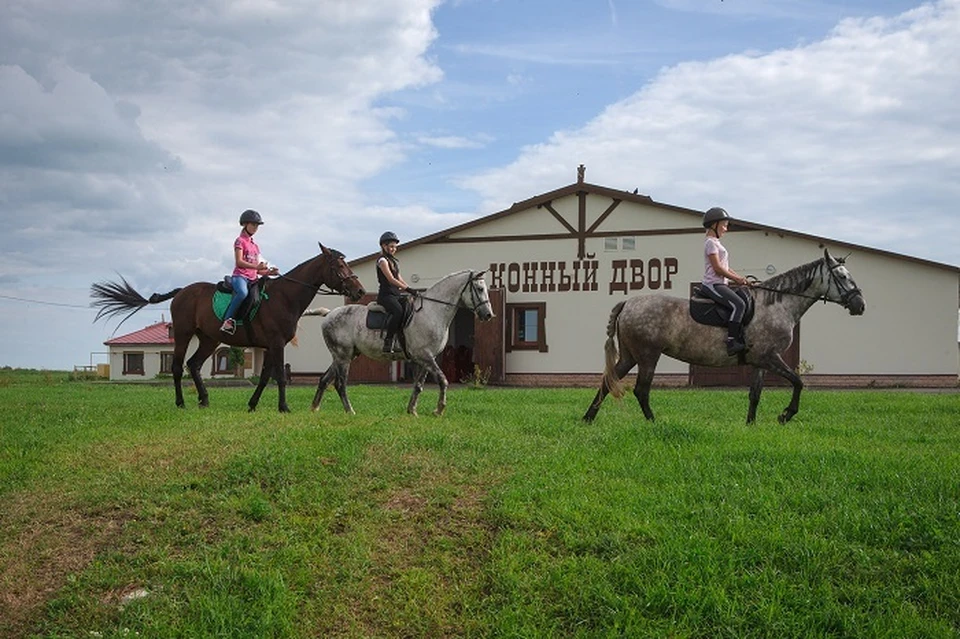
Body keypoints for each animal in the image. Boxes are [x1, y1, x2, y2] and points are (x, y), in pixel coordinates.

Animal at [93, 242, 364, 412]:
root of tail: (181, 292)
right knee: (178, 367)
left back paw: (204, 400)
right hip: (183, 334)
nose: (360, 291)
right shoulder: (276, 343)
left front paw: (253, 405)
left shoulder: (269, 346)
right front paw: (284, 407)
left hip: (209, 339)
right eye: (340, 267)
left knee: (194, 364)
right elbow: (279, 376)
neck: (284, 297)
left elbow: (264, 377)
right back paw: (181, 403)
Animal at [304, 268, 496, 416]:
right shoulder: (425, 356)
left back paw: (314, 409)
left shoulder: (426, 358)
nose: (488, 315)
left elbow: (418, 385)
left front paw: (412, 411)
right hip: (343, 357)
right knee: (340, 384)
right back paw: (350, 411)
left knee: (324, 380)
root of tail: (329, 314)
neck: (432, 312)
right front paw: (439, 410)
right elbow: (443, 380)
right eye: (479, 289)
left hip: (344, 356)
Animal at [580, 250, 868, 424]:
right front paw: (785, 415)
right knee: (641, 390)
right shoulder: (771, 357)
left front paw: (751, 425)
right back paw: (653, 422)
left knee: (608, 382)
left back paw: (588, 419)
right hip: (648, 355)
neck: (776, 305)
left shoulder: (760, 362)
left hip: (631, 355)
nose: (860, 305)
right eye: (841, 276)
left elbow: (755, 394)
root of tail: (628, 303)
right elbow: (798, 382)